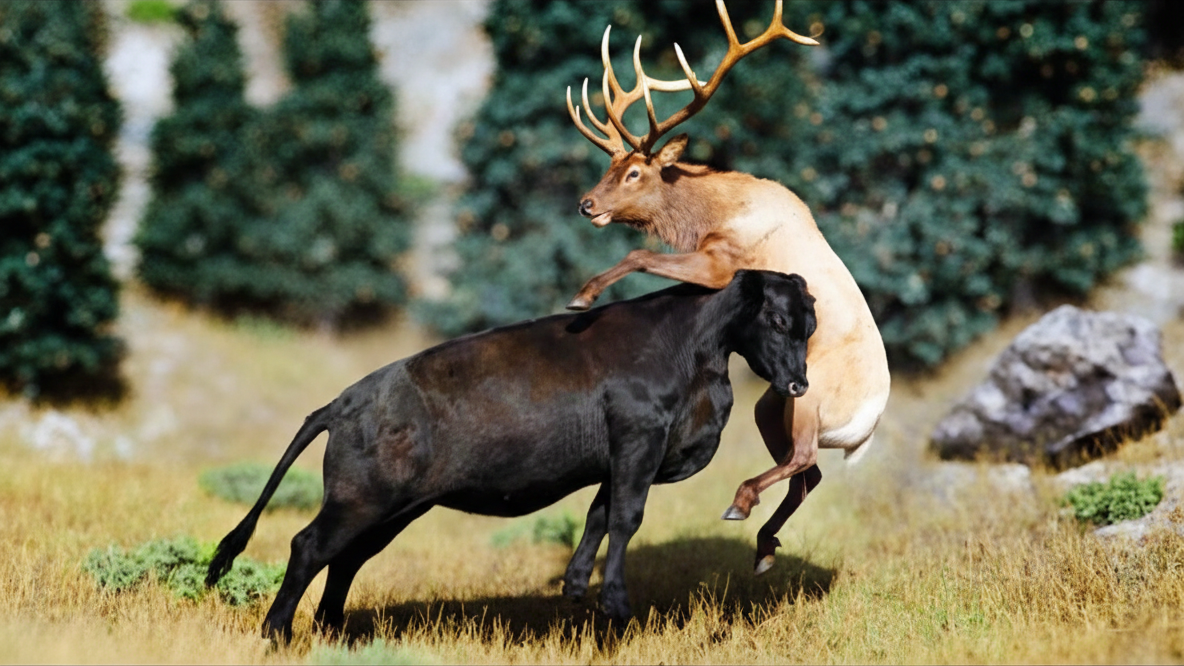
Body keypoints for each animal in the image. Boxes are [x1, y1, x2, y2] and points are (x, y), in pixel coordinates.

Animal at [205, 269, 816, 642]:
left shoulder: (617, 460)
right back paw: (277, 633)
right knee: (310, 546)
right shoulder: (639, 438)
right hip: (360, 499)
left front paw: (575, 588)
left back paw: (332, 631)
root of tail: (344, 400)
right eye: (778, 321)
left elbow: (598, 514)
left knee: (347, 558)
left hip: (393, 508)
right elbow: (625, 517)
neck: (694, 350)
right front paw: (615, 604)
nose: (799, 384)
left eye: (810, 325)